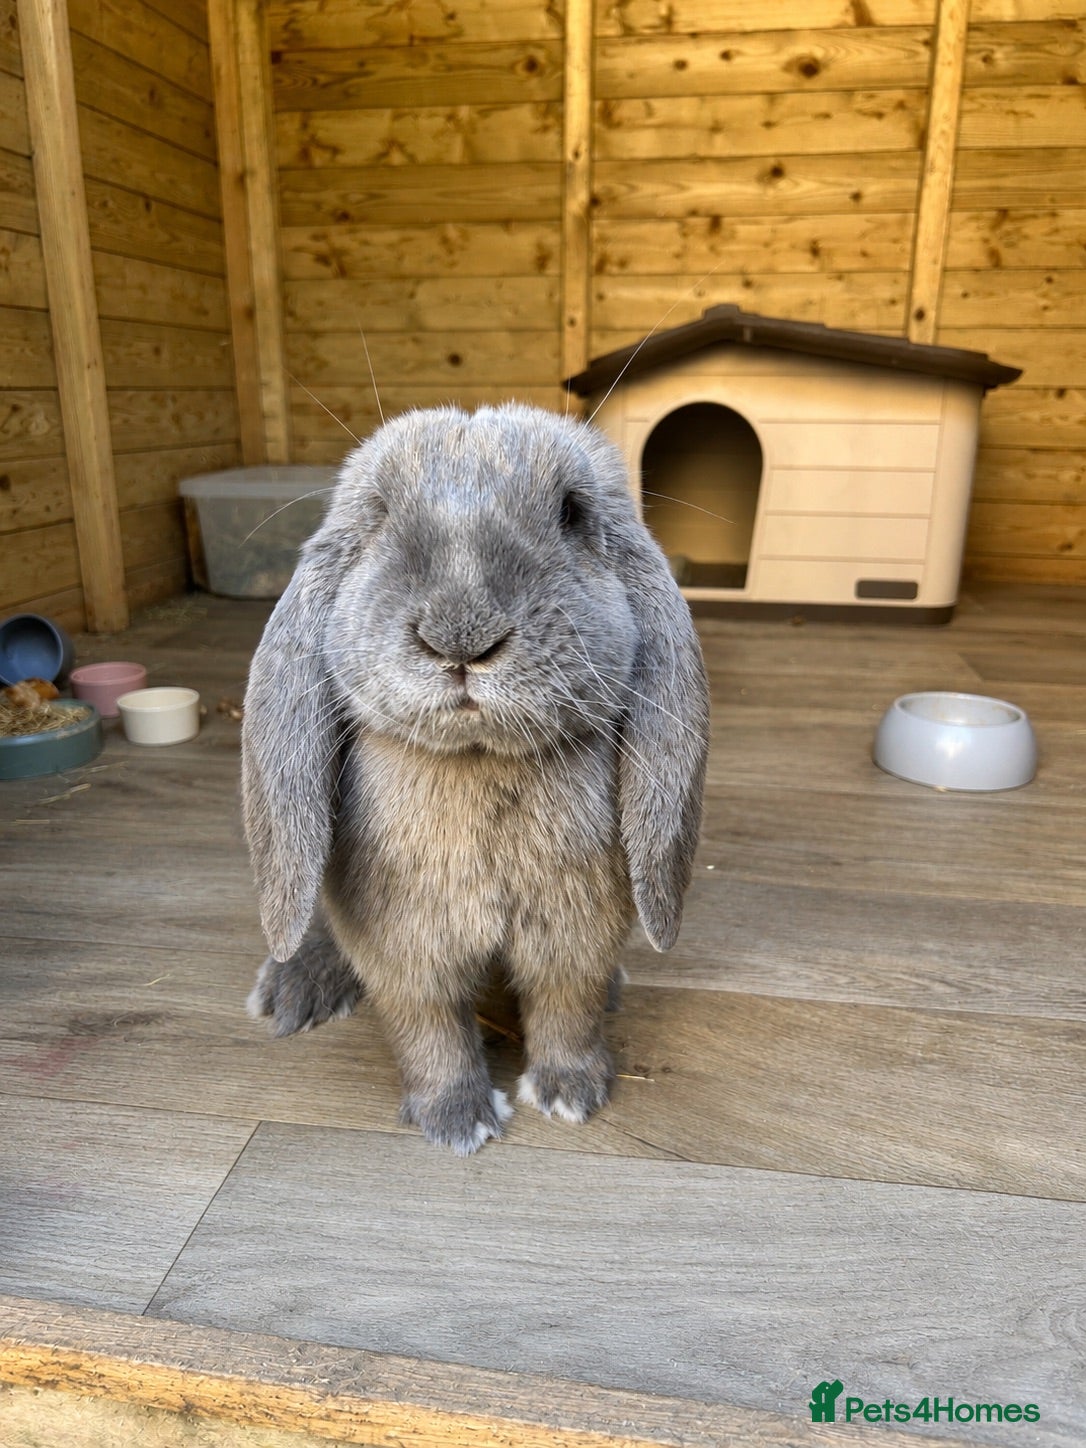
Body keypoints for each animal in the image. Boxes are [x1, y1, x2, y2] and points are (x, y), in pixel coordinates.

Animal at [241, 401, 710, 1155]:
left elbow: (569, 1009)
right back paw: (293, 988)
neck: (478, 759)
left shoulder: (577, 935)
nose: (460, 637)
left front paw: (571, 1094)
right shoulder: (405, 952)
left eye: (572, 512)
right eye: (377, 516)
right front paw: (457, 1120)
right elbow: (428, 1030)